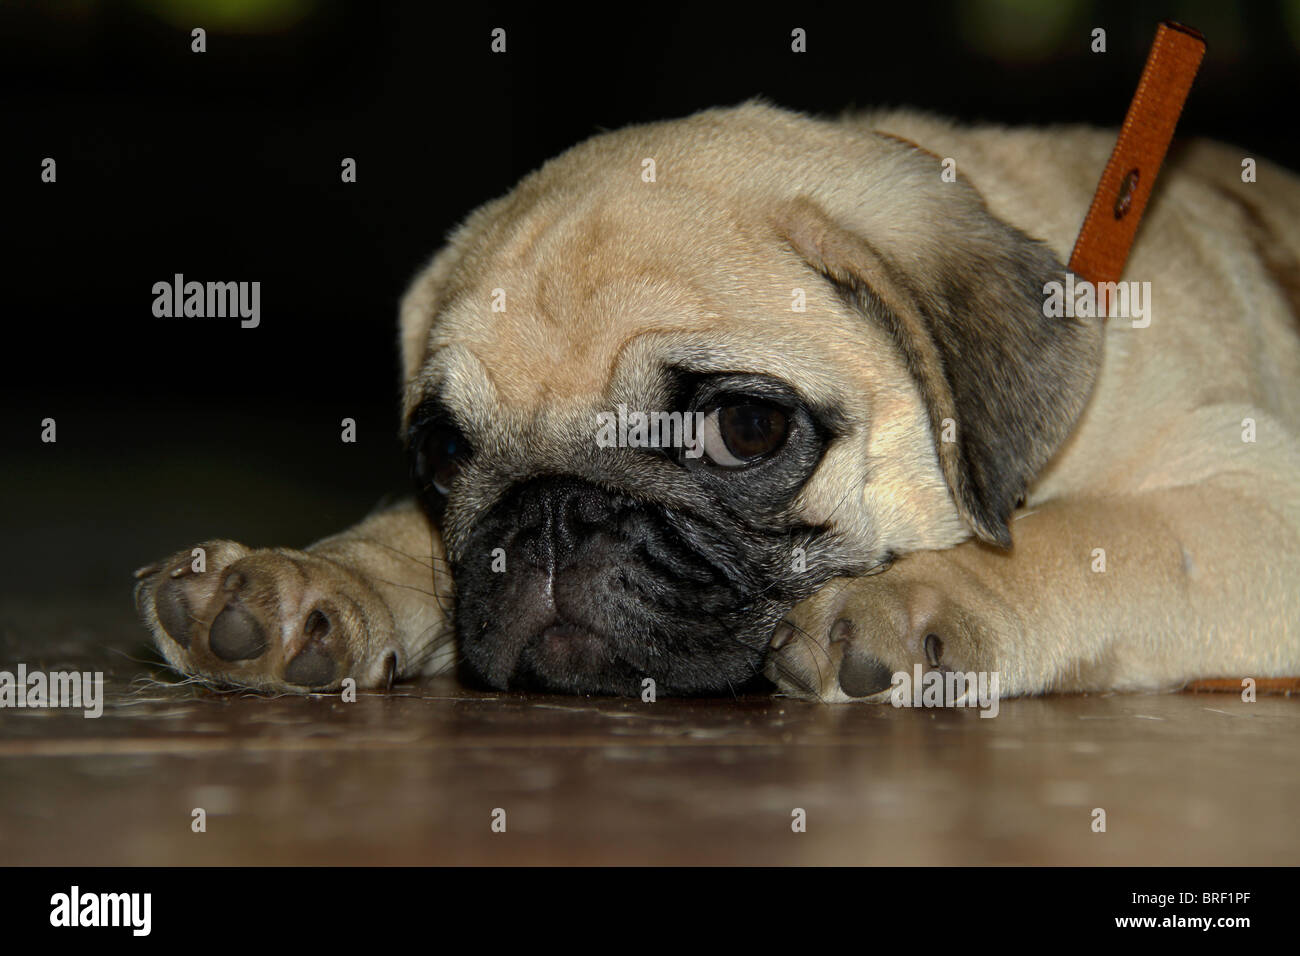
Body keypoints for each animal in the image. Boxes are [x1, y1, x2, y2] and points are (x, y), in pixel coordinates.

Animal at [131, 104, 1300, 702]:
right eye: (444, 456)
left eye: (746, 429)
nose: (552, 513)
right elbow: (403, 545)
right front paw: (308, 581)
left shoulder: (1259, 503)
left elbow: (1091, 537)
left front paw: (922, 598)